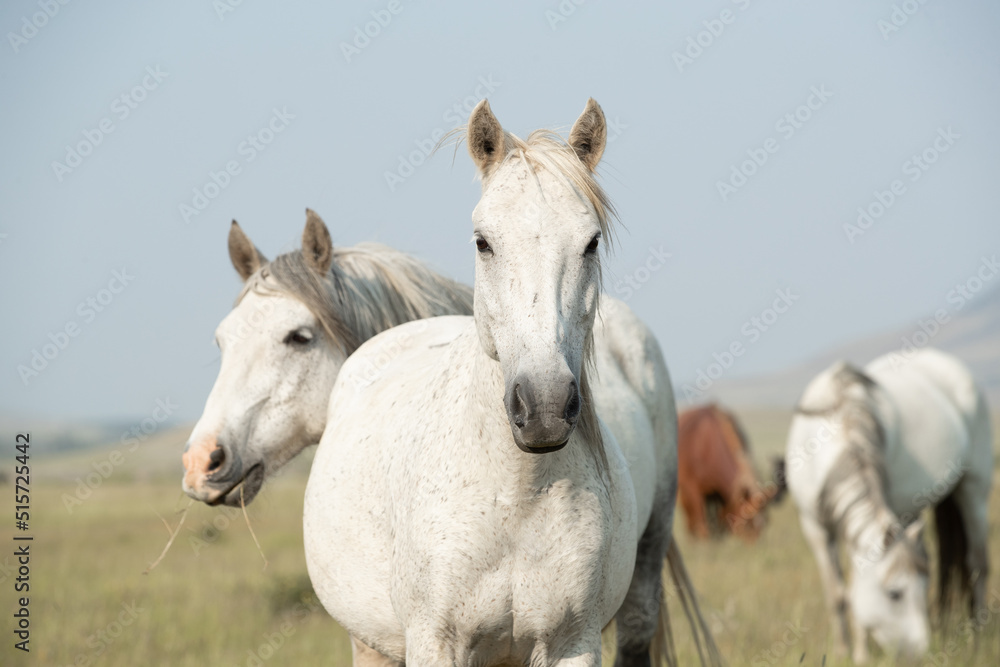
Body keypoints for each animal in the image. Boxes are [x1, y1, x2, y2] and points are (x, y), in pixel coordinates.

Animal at [181, 110, 718, 664]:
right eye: (483, 241)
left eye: (591, 242)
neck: (515, 493)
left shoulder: (574, 643)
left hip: (647, 568)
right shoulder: (436, 643)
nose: (203, 460)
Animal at [676, 404, 775, 542]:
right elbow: (701, 523)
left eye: (766, 522)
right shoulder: (692, 489)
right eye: (746, 523)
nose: (756, 545)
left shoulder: (722, 494)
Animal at [785, 348, 993, 663]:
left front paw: (860, 655)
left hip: (973, 486)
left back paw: (976, 635)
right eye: (895, 594)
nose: (920, 654)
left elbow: (854, 587)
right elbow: (838, 593)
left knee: (977, 563)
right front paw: (844, 651)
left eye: (923, 586)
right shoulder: (814, 527)